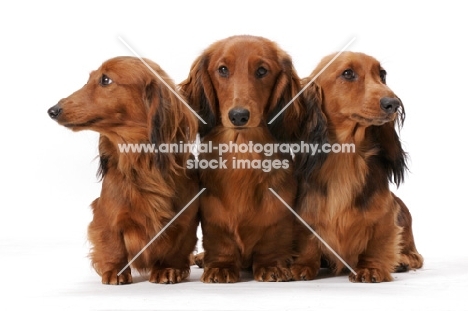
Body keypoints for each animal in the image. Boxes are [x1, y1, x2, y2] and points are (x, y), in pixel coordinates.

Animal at [48, 56, 199, 286]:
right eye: (89, 79)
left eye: (105, 79)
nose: (52, 110)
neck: (141, 164)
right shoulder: (106, 215)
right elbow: (113, 245)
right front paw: (114, 271)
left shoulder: (186, 220)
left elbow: (177, 247)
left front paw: (168, 268)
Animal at [179, 35, 326, 284]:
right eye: (222, 69)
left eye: (262, 71)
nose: (239, 116)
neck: (243, 153)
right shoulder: (213, 217)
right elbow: (220, 242)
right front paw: (220, 267)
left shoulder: (279, 215)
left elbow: (272, 241)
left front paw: (271, 266)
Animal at [294, 51, 426, 282]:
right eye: (348, 73)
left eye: (382, 74)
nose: (393, 103)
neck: (347, 157)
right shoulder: (306, 213)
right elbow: (308, 240)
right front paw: (303, 266)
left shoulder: (384, 214)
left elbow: (377, 241)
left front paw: (371, 268)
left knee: (415, 253)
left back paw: (404, 259)